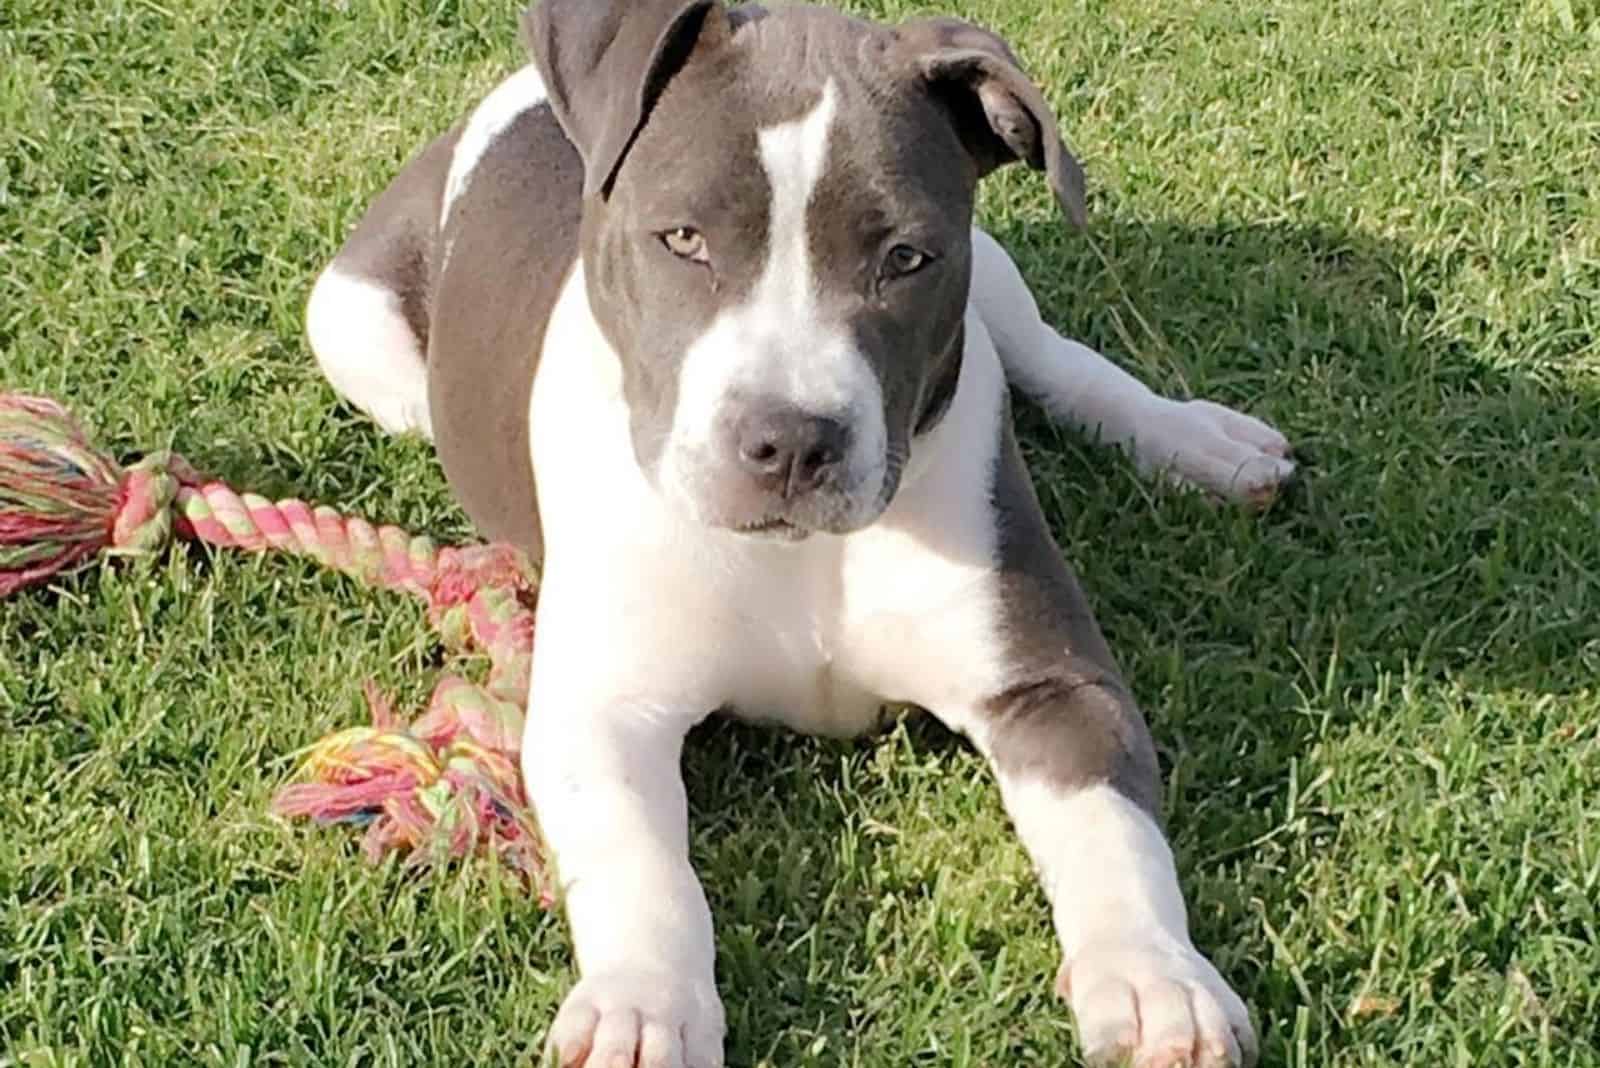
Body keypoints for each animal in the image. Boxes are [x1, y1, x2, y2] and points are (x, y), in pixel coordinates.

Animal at [305, 4, 1292, 1061]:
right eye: (682, 239)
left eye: (906, 258)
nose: (790, 442)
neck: (804, 555)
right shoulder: (602, 712)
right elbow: (640, 867)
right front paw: (642, 1002)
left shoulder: (1052, 687)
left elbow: (1113, 835)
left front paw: (1155, 982)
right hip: (355, 328)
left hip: (999, 272)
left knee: (1054, 356)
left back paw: (1200, 443)